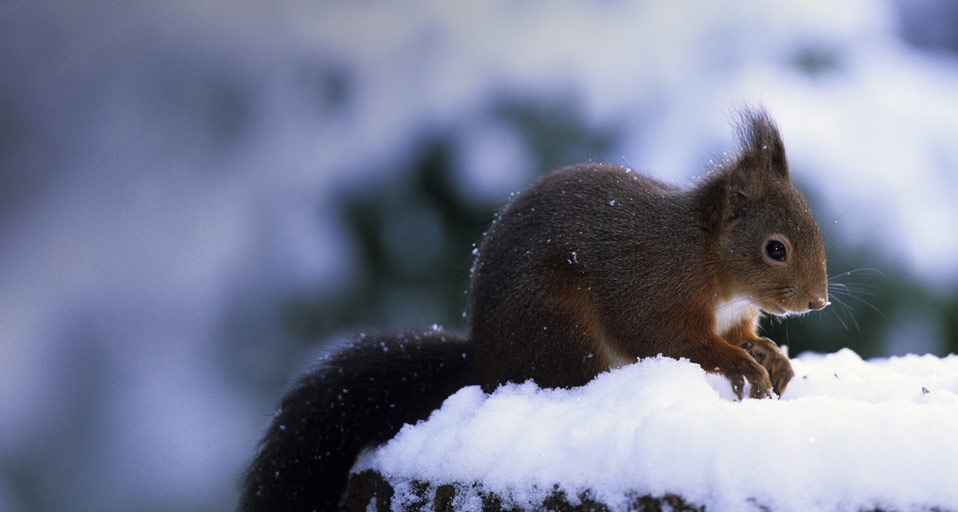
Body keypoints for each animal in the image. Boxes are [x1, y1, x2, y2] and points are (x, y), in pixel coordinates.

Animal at [239, 107, 829, 511]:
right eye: (776, 248)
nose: (818, 300)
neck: (709, 260)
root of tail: (483, 364)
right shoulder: (652, 291)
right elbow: (671, 340)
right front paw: (741, 365)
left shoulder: (733, 315)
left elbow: (744, 336)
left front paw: (771, 356)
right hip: (559, 325)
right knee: (573, 380)